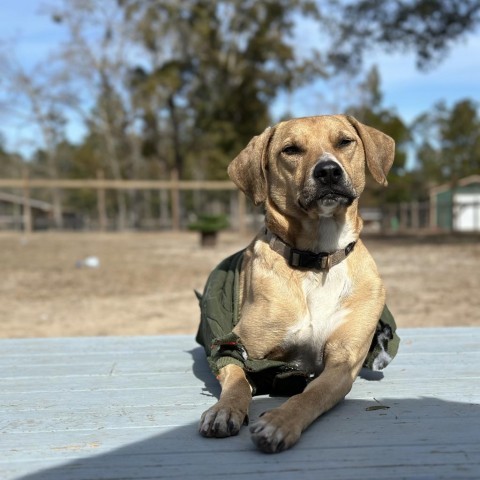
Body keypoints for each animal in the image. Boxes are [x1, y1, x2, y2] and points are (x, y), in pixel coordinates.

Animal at [198, 114, 394, 452]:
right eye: (290, 150)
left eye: (345, 141)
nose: (328, 171)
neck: (316, 260)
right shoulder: (237, 347)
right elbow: (237, 379)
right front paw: (224, 409)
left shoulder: (343, 362)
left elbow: (312, 394)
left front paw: (280, 421)